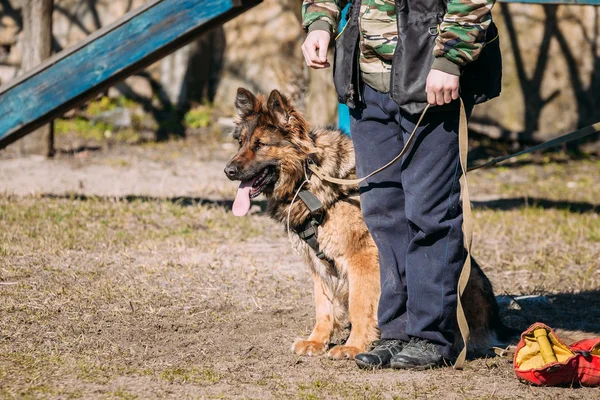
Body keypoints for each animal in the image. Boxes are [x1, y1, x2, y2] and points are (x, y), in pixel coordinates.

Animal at [227, 89, 508, 360]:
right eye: (241, 143)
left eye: (261, 144)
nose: (227, 171)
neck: (309, 179)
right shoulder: (319, 264)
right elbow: (323, 307)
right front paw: (317, 341)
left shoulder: (361, 258)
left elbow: (360, 305)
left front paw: (354, 346)